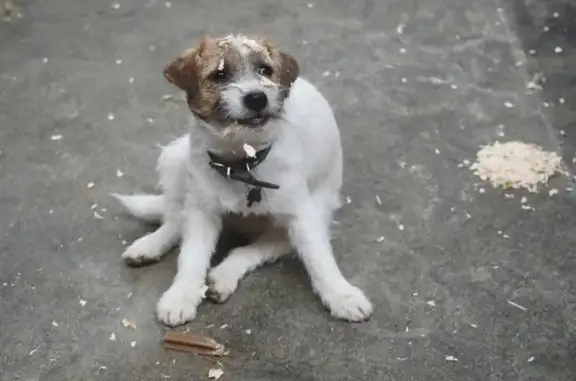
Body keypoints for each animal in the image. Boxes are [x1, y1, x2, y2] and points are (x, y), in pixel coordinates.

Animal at [113, 34, 374, 326]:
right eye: (220, 74)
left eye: (265, 70)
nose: (257, 98)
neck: (241, 161)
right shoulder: (202, 211)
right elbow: (191, 256)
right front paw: (181, 295)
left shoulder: (302, 215)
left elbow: (319, 258)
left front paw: (341, 294)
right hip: (175, 161)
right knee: (175, 218)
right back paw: (150, 245)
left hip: (300, 221)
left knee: (256, 249)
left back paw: (224, 275)